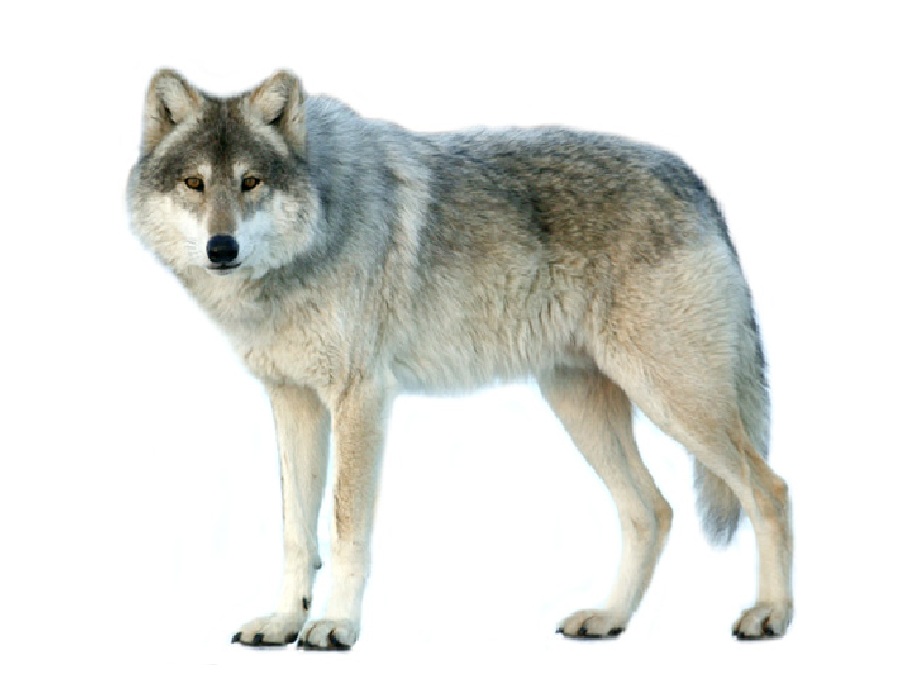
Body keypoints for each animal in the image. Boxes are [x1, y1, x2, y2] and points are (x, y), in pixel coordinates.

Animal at [127, 69, 792, 649]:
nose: (221, 247)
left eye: (250, 182)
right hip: (579, 405)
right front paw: (282, 622)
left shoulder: (360, 398)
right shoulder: (293, 401)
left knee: (770, 489)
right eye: (194, 184)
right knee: (651, 510)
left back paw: (769, 615)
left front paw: (335, 626)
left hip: (673, 399)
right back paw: (609, 619)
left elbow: (344, 528)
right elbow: (296, 532)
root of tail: (690, 177)